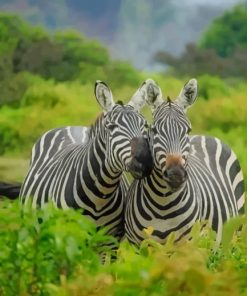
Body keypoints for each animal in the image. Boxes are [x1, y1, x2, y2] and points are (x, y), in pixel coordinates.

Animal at [20, 79, 153, 240]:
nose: (145, 161)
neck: (100, 194)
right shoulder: (66, 236)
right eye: (111, 127)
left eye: (145, 125)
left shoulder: (110, 239)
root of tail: (71, 126)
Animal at [125, 77, 245, 245]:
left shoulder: (187, 245)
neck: (163, 204)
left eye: (188, 130)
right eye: (154, 130)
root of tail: (205, 136)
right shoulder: (137, 245)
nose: (176, 175)